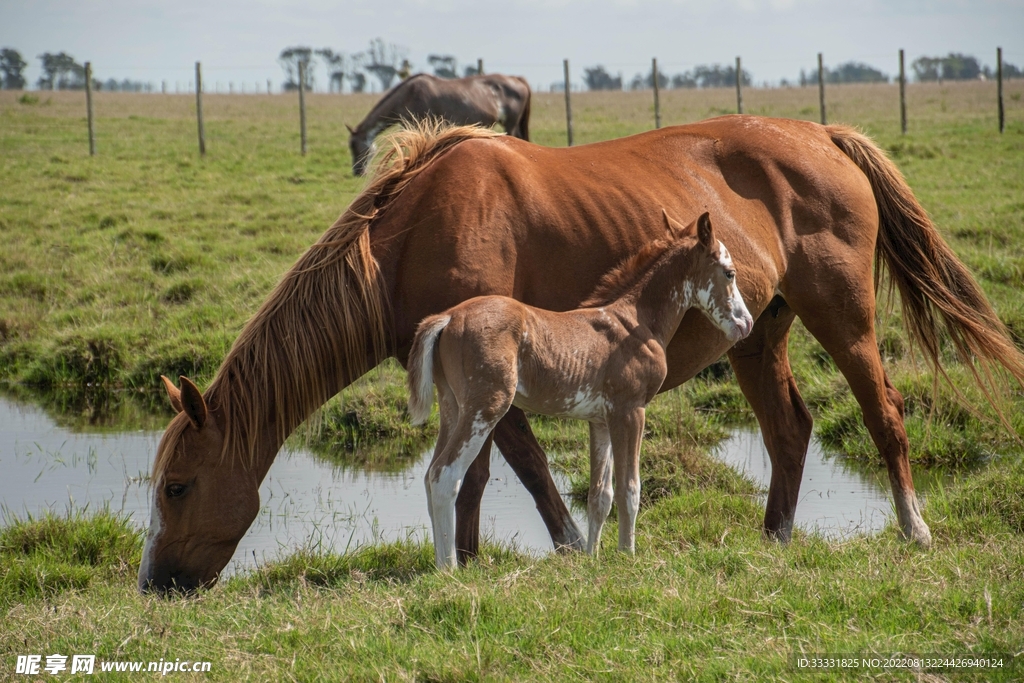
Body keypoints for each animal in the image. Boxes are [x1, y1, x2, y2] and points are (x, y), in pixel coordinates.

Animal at [407, 210, 753, 569]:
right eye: (729, 273)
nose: (746, 323)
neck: (636, 321)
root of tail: (448, 318)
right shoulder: (630, 411)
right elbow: (630, 489)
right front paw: (627, 555)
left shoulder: (600, 420)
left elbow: (600, 495)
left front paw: (592, 557)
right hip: (485, 408)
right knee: (445, 475)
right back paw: (450, 569)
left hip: (452, 407)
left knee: (430, 475)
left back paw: (440, 567)